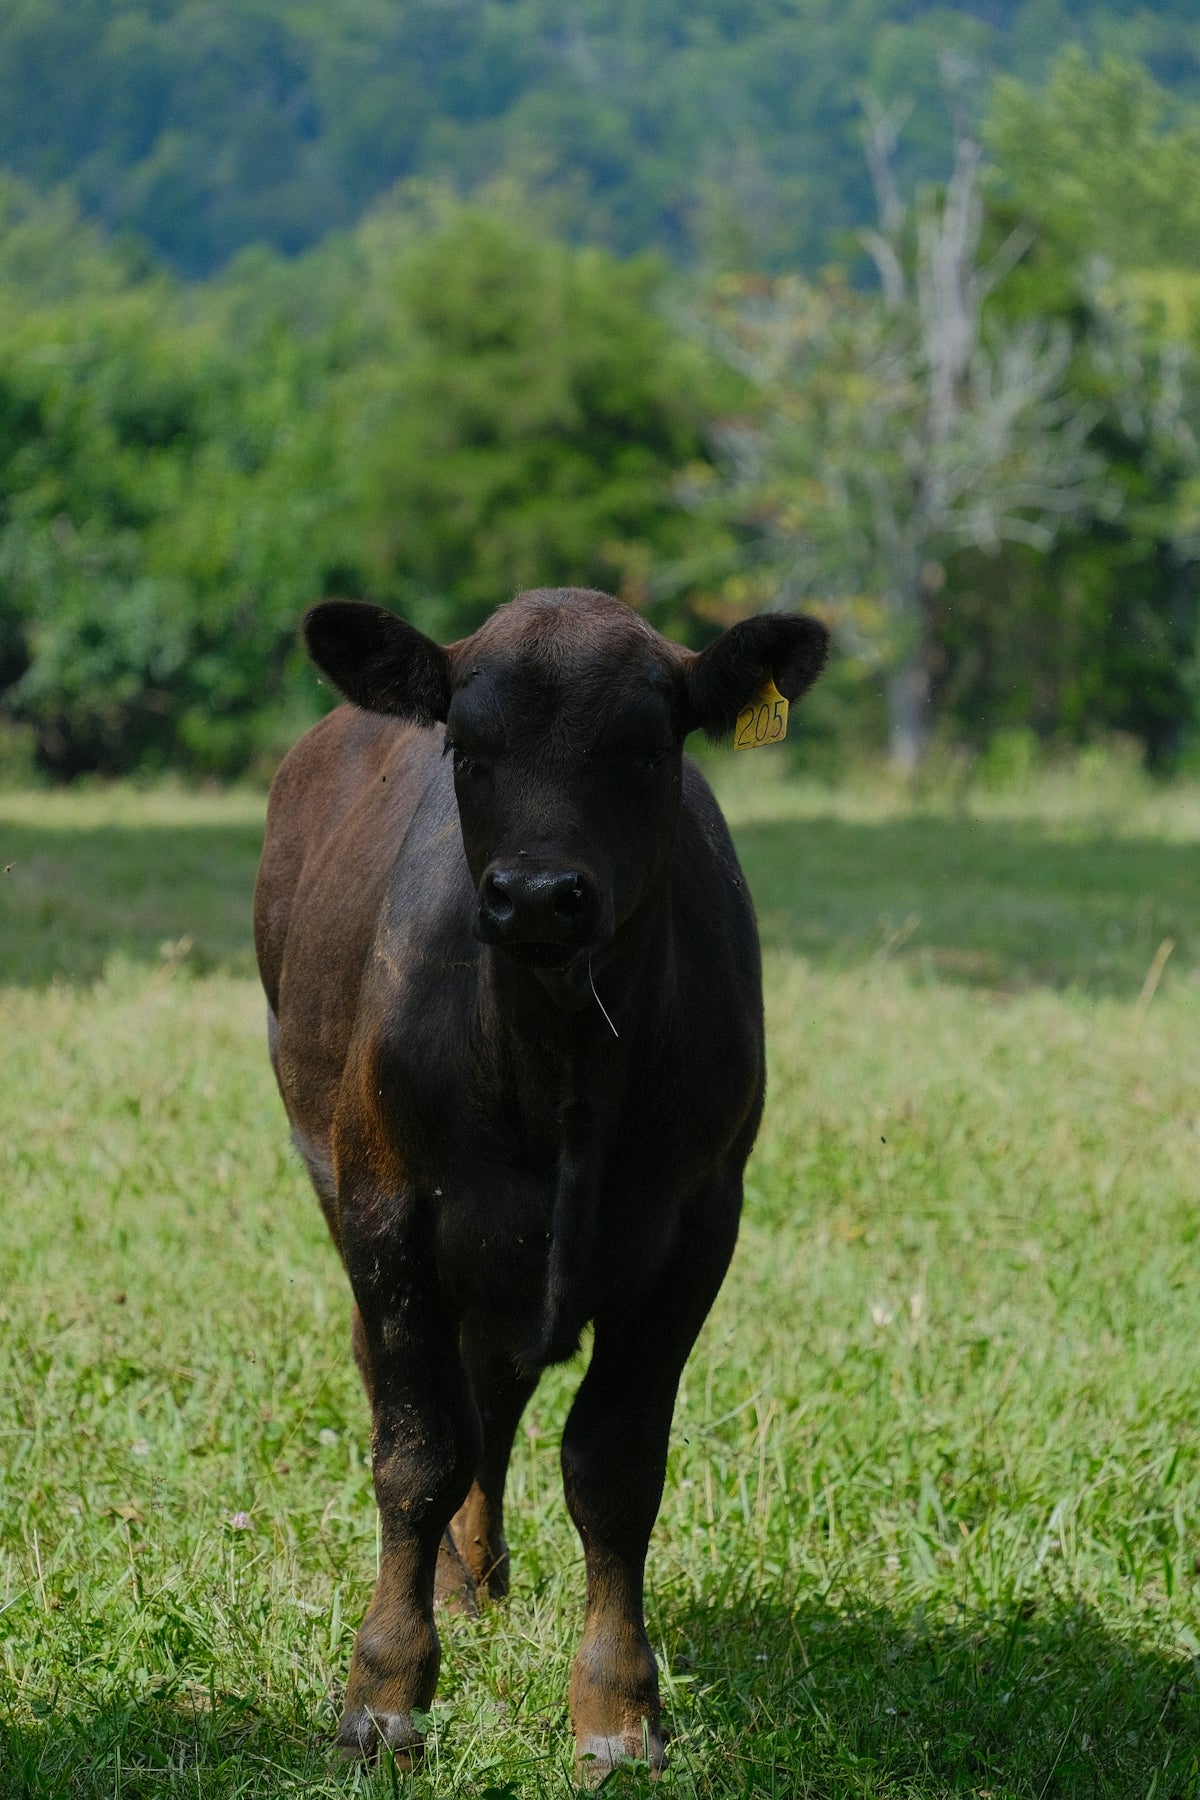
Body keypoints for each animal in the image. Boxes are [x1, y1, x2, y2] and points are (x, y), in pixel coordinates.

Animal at [253, 586, 827, 1779]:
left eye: (649, 747)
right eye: (468, 747)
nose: (535, 897)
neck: (555, 1067)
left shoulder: (699, 1226)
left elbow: (614, 1466)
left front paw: (617, 1708)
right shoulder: (388, 1207)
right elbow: (417, 1448)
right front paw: (385, 1690)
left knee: (499, 1394)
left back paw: (481, 1576)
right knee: (416, 1387)